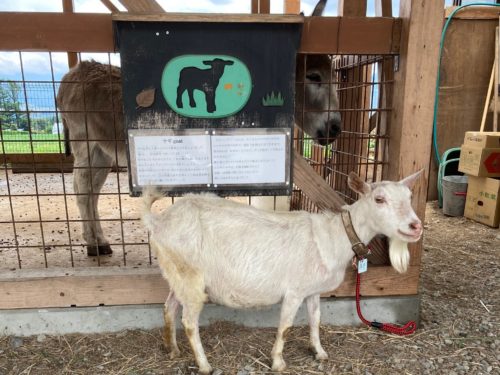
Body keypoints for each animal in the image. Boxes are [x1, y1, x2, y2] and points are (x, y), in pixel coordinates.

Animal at [141, 170, 422, 374]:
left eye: (410, 197)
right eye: (379, 199)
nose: (415, 226)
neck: (335, 236)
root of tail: (158, 221)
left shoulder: (313, 291)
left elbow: (315, 320)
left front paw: (319, 352)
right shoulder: (294, 291)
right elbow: (285, 326)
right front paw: (278, 362)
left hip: (176, 275)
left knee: (169, 306)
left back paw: (172, 349)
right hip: (190, 278)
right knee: (189, 321)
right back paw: (204, 365)